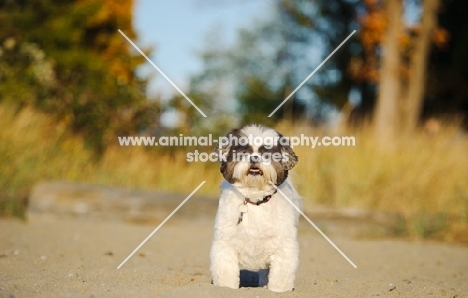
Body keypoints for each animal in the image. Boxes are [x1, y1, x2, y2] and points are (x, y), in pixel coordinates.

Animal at [210, 123, 302, 292]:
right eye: (244, 152)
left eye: (266, 154)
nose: (254, 158)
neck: (255, 199)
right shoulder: (225, 245)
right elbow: (226, 272)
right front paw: (226, 288)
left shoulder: (284, 248)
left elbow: (280, 277)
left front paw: (278, 291)